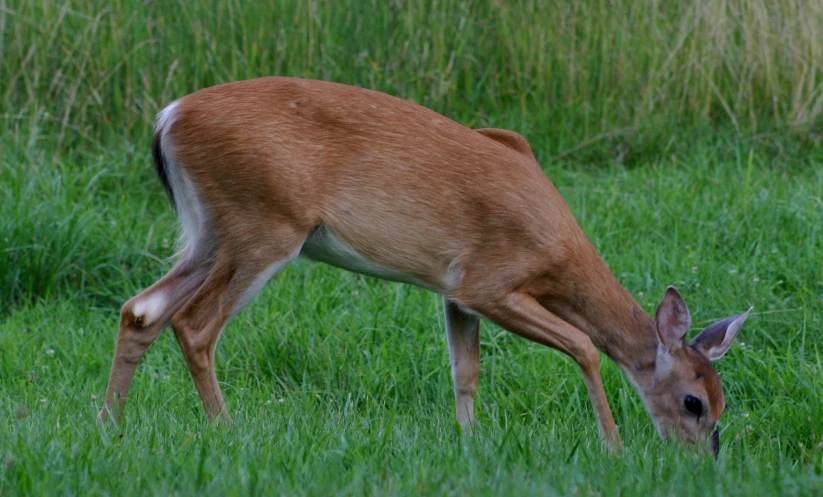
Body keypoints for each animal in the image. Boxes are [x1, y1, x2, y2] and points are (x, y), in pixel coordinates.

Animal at [96, 76, 752, 454]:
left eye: (723, 403)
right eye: (694, 403)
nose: (703, 459)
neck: (559, 248)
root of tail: (168, 117)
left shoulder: (454, 293)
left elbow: (466, 371)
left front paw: (468, 443)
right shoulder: (490, 283)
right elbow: (585, 346)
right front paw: (612, 447)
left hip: (211, 232)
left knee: (141, 309)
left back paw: (110, 426)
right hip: (264, 224)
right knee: (194, 324)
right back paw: (226, 430)